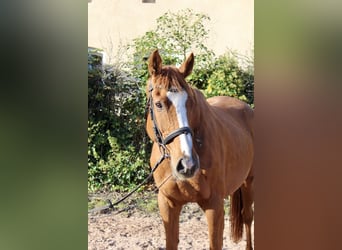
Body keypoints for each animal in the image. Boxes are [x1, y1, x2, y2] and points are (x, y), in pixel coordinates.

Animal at [145, 49, 254, 250]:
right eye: (158, 104)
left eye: (191, 103)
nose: (187, 164)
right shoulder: (167, 203)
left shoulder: (214, 206)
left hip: (249, 181)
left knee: (248, 218)